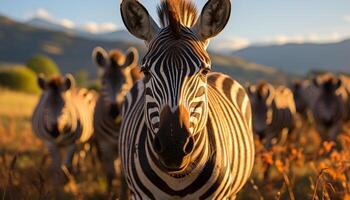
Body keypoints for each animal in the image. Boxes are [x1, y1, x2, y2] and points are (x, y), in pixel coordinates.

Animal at [92, 46, 143, 195]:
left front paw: (123, 195)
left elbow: (123, 176)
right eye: (103, 82)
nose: (114, 111)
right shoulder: (105, 145)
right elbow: (110, 174)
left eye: (125, 81)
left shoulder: (125, 147)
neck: (115, 125)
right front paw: (110, 195)